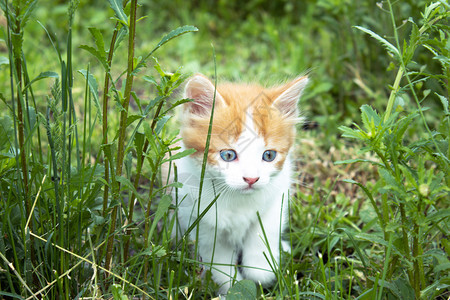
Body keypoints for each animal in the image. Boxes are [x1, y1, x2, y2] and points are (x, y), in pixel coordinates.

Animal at [171, 73, 308, 296]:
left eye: (269, 155)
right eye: (228, 155)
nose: (251, 179)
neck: (237, 200)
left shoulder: (277, 197)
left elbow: (263, 233)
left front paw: (261, 271)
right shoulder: (200, 218)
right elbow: (217, 259)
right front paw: (230, 286)